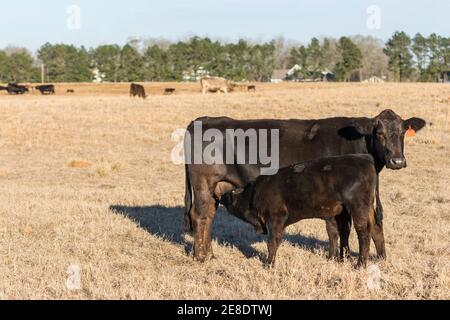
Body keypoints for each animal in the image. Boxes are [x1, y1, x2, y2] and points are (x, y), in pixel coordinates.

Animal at [220, 154, 384, 268]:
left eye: (228, 195)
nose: (221, 196)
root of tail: (364, 158)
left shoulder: (275, 218)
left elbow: (272, 242)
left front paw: (269, 264)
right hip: (361, 209)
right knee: (375, 230)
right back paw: (381, 258)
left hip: (358, 208)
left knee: (364, 233)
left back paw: (360, 265)